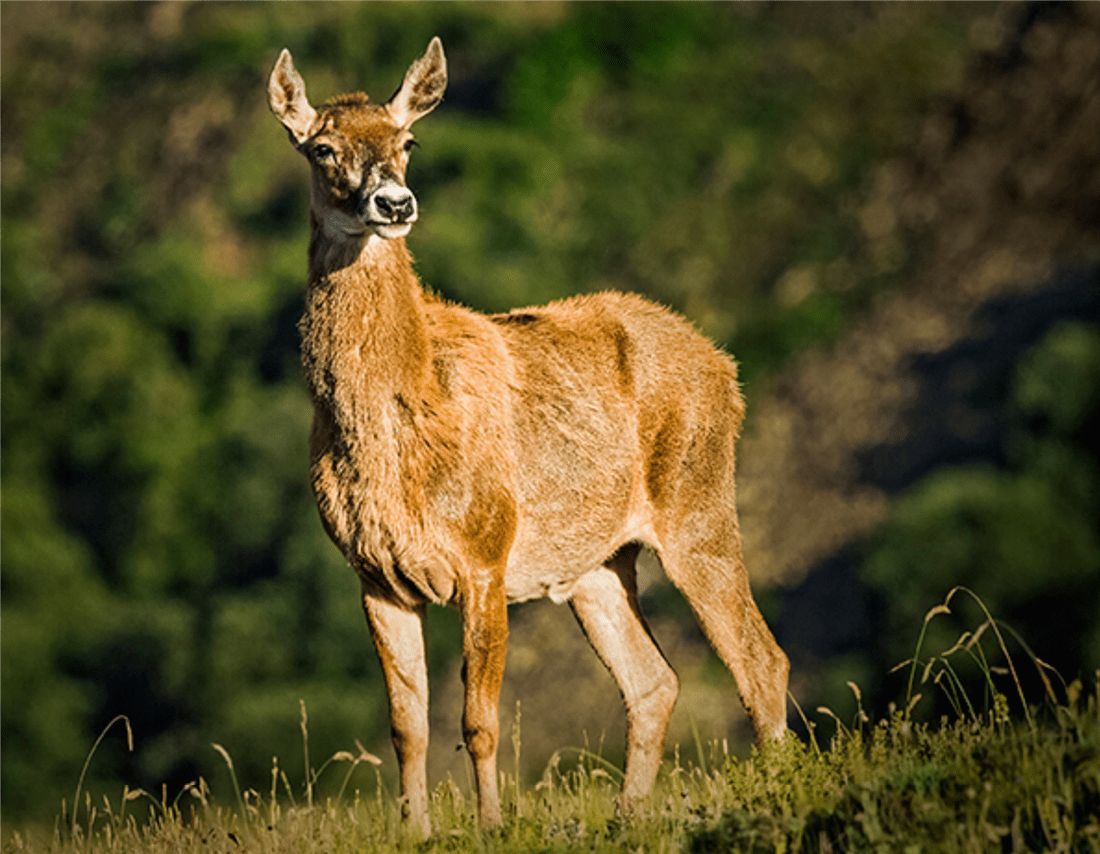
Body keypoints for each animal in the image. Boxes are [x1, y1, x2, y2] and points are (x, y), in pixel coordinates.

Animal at [269, 40, 792, 831]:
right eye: (321, 147)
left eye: (408, 141)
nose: (394, 204)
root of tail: (726, 368)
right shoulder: (373, 574)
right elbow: (406, 724)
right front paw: (417, 831)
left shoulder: (485, 551)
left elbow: (478, 719)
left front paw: (490, 825)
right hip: (596, 564)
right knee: (654, 681)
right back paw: (627, 816)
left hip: (697, 503)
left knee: (760, 659)